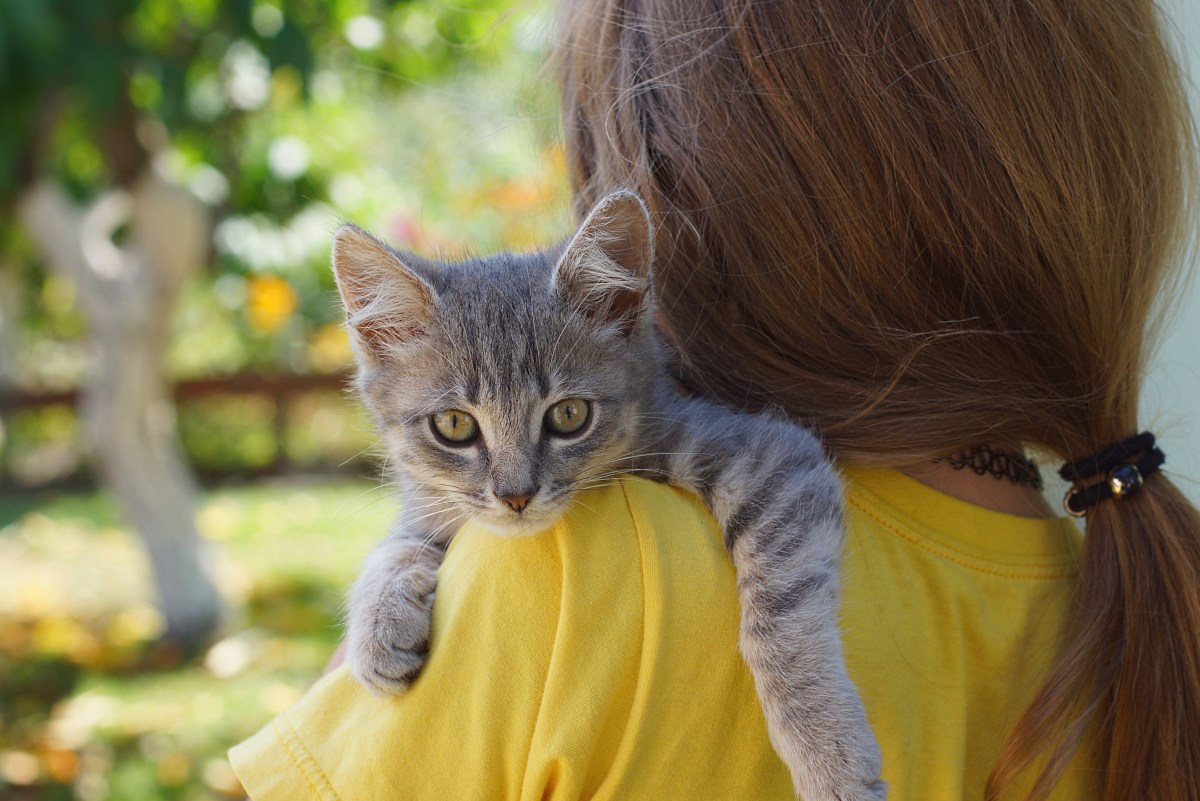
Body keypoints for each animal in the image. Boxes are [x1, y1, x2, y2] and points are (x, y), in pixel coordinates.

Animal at [333, 189, 888, 801]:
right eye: (454, 425)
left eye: (569, 416)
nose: (516, 496)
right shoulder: (440, 505)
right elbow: (400, 542)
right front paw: (376, 628)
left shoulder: (770, 455)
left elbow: (780, 618)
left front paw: (826, 750)